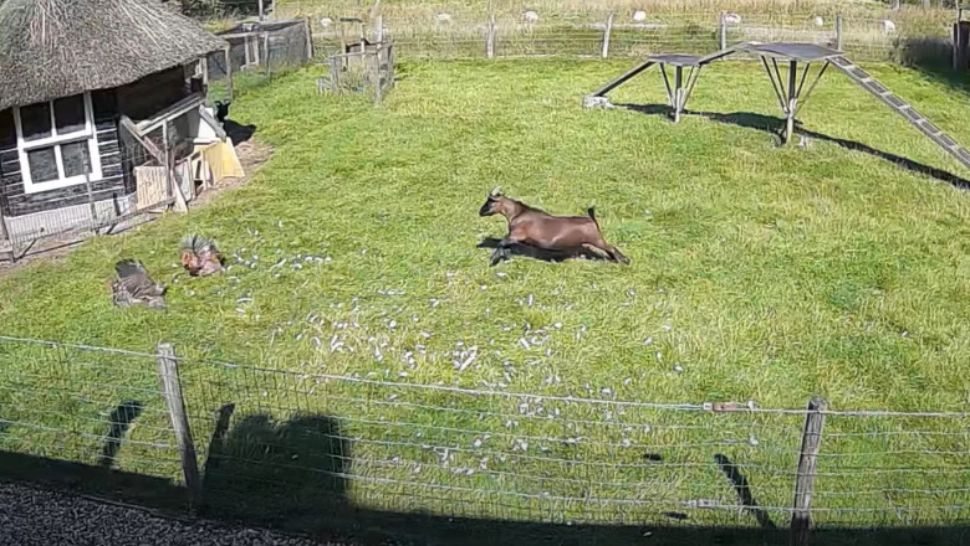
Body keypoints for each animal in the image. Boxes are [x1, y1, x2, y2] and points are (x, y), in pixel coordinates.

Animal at [478, 188, 630, 266]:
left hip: (596, 239)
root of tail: (591, 219)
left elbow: (502, 242)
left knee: (611, 247)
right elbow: (505, 246)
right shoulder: (515, 238)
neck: (518, 213)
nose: (480, 212)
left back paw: (623, 261)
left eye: (489, 202)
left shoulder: (517, 234)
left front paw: (493, 260)